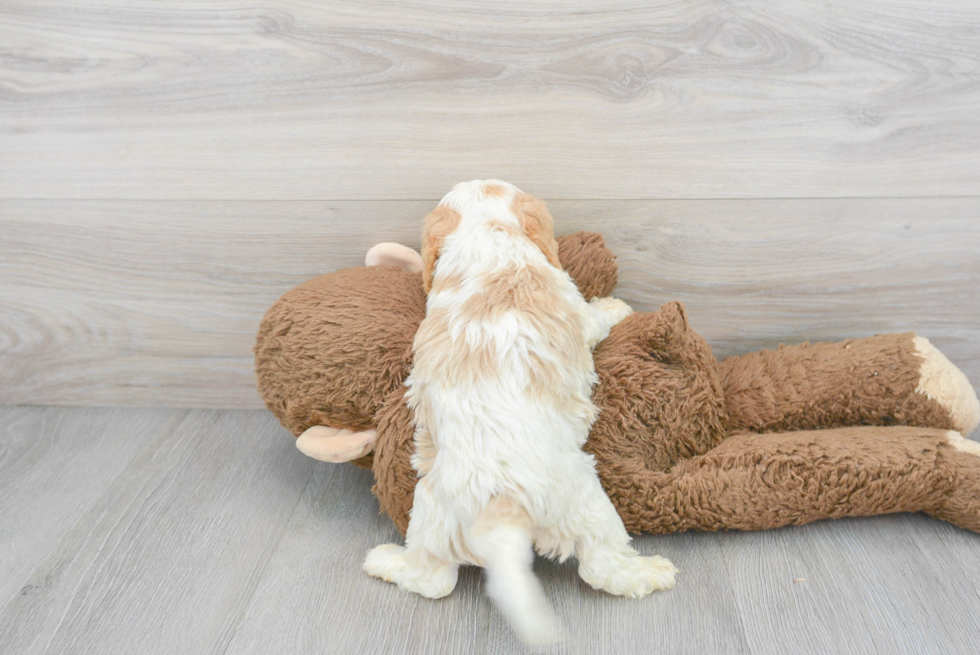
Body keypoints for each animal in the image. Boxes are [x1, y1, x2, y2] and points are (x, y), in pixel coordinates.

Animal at [364, 179, 676, 644]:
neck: (488, 235)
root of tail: (501, 506)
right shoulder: (575, 307)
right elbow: (595, 317)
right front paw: (614, 307)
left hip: (431, 511)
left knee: (432, 580)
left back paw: (385, 563)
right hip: (587, 501)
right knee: (603, 567)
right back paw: (648, 572)